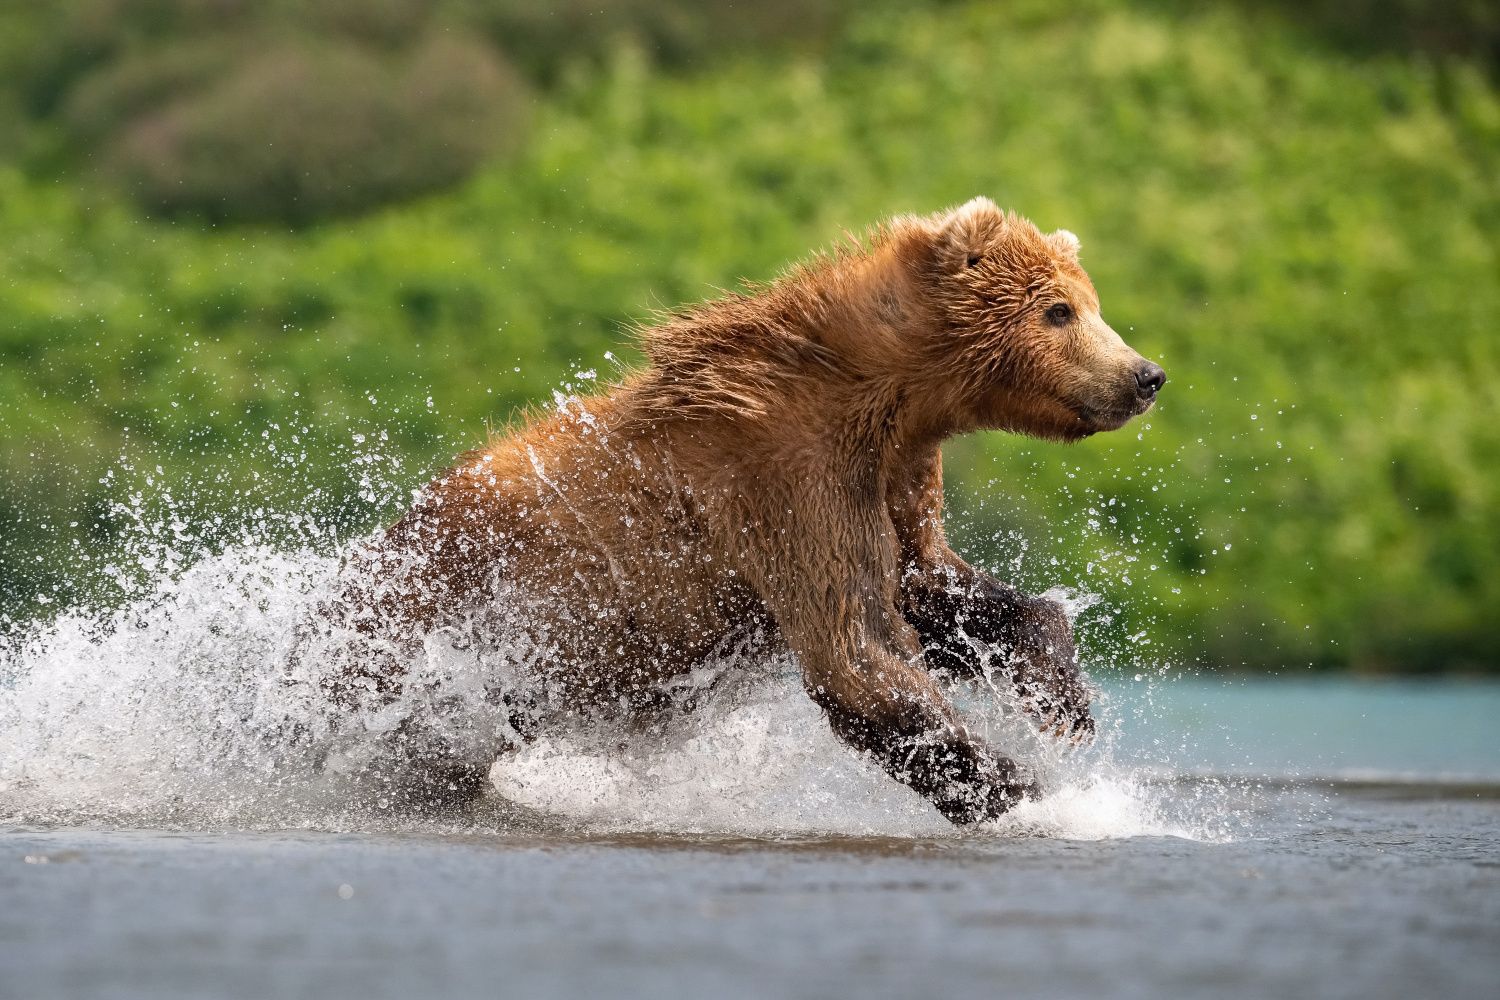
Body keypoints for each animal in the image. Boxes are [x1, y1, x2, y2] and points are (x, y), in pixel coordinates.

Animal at [328, 199, 1164, 827]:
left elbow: (932, 588)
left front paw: (1063, 700)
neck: (879, 395)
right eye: (1059, 310)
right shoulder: (788, 481)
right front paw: (1041, 795)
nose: (1146, 374)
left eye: (1088, 303)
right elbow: (857, 652)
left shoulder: (893, 479)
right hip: (423, 627)